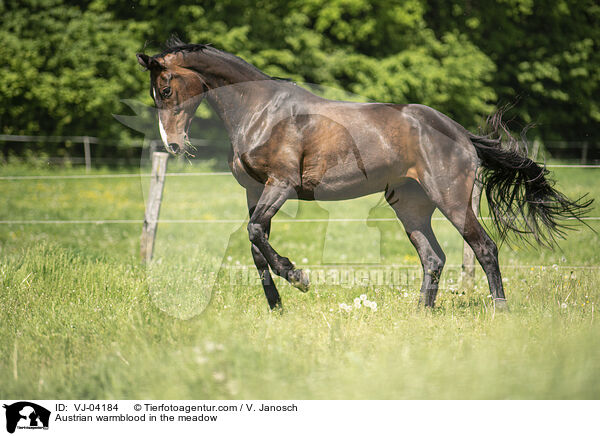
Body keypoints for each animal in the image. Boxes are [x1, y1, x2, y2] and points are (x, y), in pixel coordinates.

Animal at [136, 36, 592, 310]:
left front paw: (298, 277)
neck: (262, 111)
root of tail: (460, 133)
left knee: (485, 249)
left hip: (452, 200)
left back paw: (499, 310)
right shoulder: (254, 192)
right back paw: (422, 314)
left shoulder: (280, 185)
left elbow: (256, 234)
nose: (173, 145)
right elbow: (255, 242)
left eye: (166, 89)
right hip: (410, 206)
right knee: (433, 257)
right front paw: (277, 305)